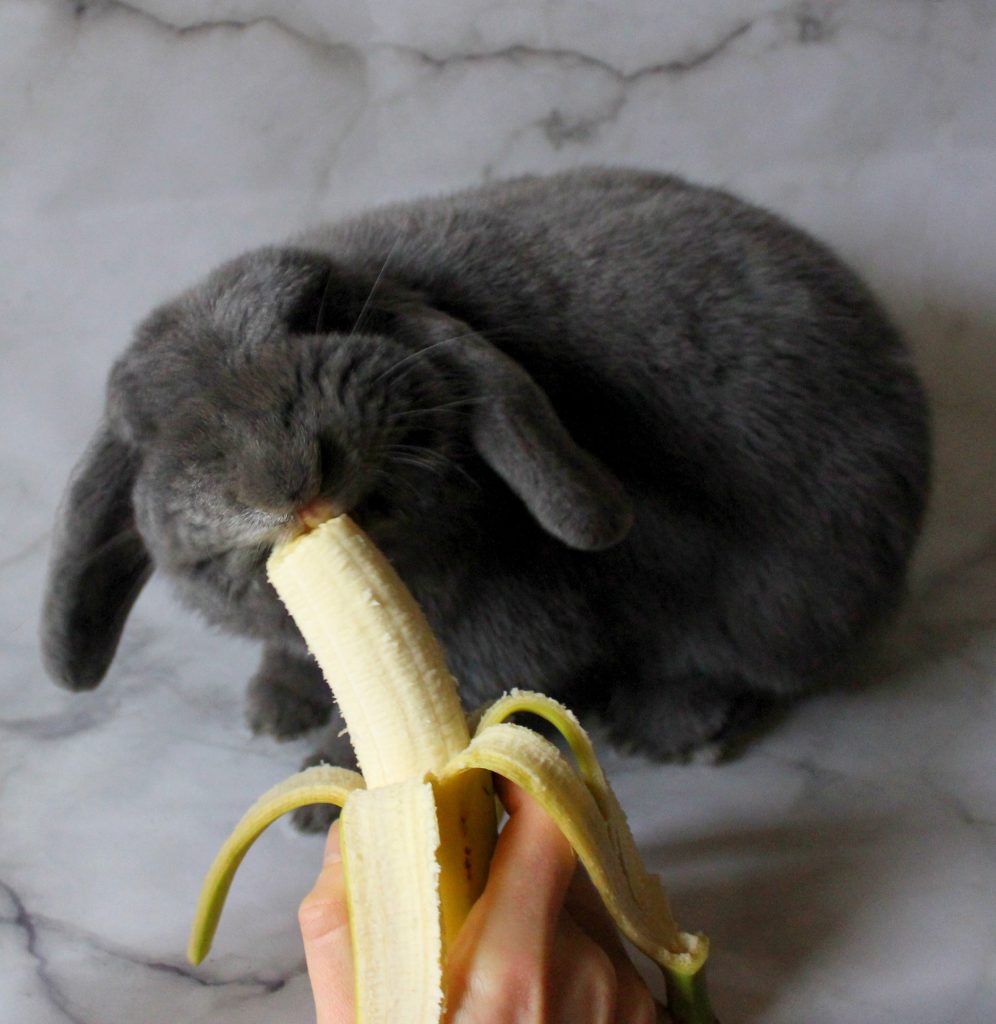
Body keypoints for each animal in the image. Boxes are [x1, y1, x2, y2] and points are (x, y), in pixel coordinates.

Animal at [42, 165, 933, 823]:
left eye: (317, 311)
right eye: (147, 422)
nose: (286, 474)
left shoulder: (518, 617)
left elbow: (456, 697)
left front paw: (328, 786)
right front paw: (275, 703)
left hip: (784, 600)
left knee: (756, 670)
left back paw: (668, 726)